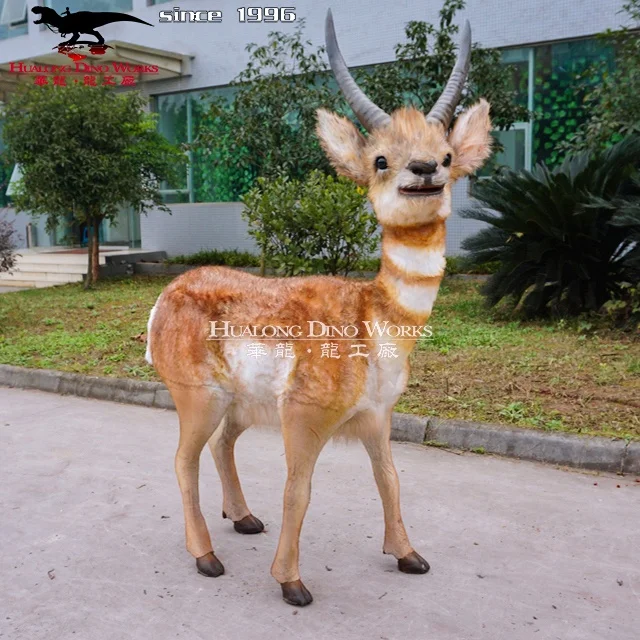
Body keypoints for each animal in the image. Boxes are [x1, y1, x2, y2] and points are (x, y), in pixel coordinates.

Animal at [145, 9, 492, 607]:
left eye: (448, 155)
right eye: (380, 159)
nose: (425, 169)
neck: (372, 320)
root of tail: (165, 297)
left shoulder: (378, 415)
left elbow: (390, 477)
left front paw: (410, 556)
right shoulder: (304, 416)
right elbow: (298, 490)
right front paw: (292, 584)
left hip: (241, 404)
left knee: (220, 446)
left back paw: (244, 520)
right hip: (197, 395)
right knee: (183, 459)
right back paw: (208, 557)